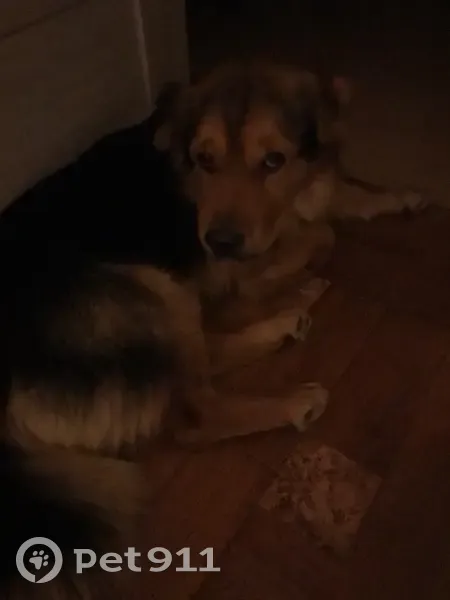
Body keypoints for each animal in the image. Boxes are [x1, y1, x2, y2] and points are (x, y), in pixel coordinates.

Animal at [0, 60, 426, 599]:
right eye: (204, 160)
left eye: (273, 161)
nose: (219, 243)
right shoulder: (238, 265)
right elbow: (320, 234)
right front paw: (294, 268)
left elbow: (338, 196)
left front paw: (397, 195)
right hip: (150, 283)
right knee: (195, 412)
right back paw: (293, 395)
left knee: (202, 359)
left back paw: (283, 324)